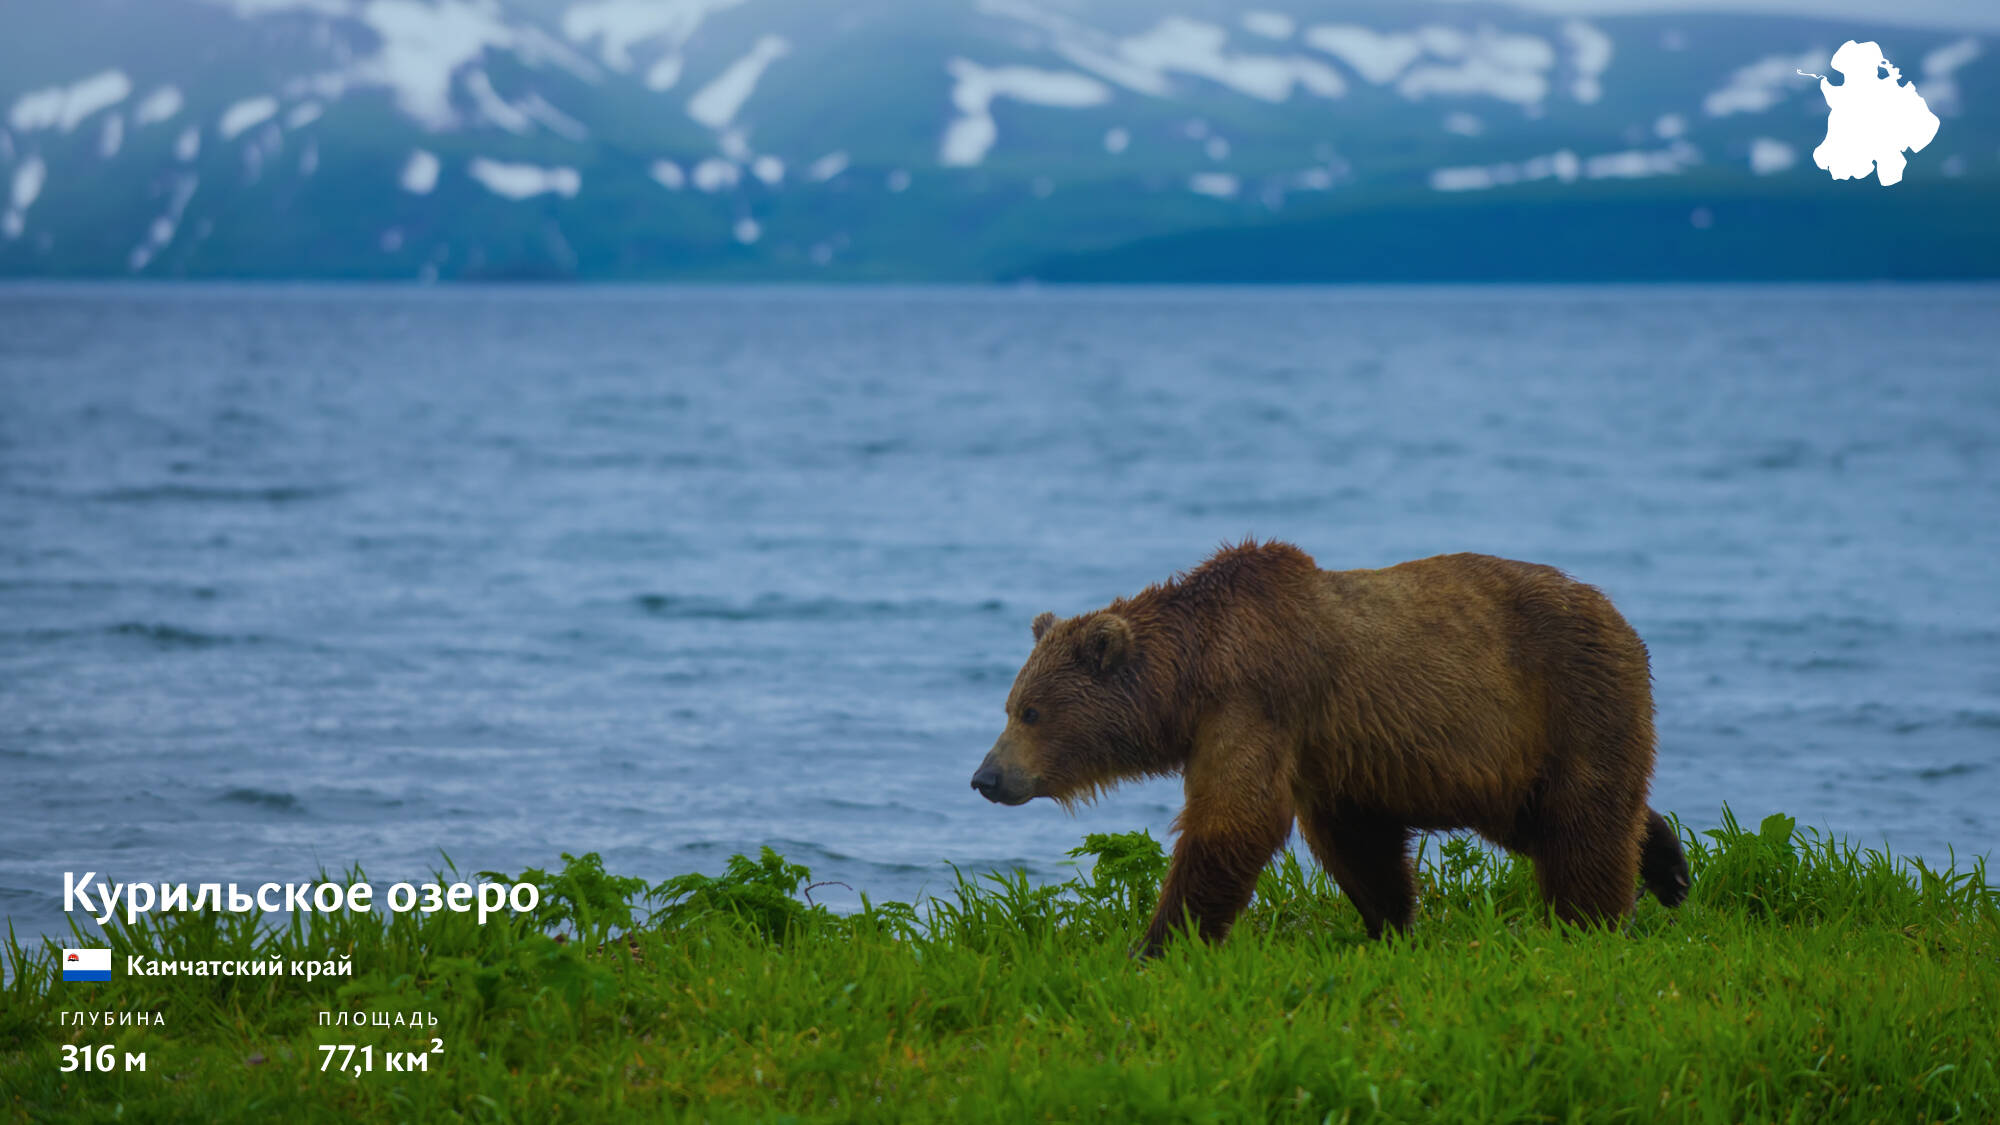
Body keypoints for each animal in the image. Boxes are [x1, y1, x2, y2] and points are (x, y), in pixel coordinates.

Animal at [968, 540, 1688, 948]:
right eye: (1010, 705)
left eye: (1031, 711)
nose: (986, 777)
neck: (1193, 672)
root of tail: (1619, 616)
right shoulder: (1327, 749)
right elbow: (1355, 840)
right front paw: (1389, 923)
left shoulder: (1255, 698)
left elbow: (1234, 820)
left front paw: (1159, 942)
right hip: (1510, 759)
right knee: (1550, 818)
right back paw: (1668, 867)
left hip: (1567, 697)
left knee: (1581, 819)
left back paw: (1589, 924)